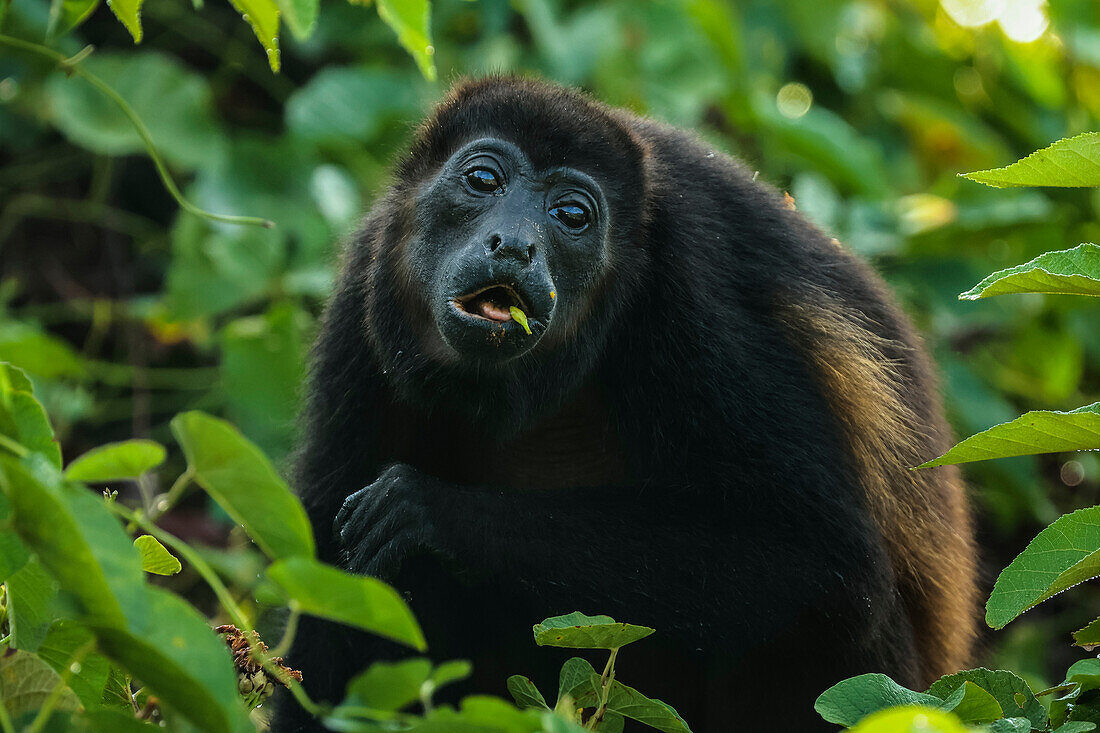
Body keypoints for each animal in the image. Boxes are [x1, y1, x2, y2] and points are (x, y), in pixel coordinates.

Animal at [272, 77, 972, 726]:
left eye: (572, 216)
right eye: (482, 179)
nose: (516, 244)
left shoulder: (687, 297)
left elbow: (822, 557)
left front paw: (432, 512)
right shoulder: (364, 288)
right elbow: (324, 565)